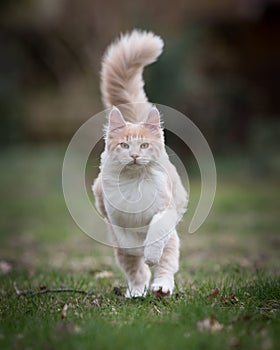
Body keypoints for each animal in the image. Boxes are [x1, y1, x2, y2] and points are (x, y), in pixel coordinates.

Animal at [92, 30, 188, 298]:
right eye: (125, 146)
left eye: (143, 145)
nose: (134, 156)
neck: (135, 183)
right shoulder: (114, 216)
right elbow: (130, 246)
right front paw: (139, 253)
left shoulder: (165, 211)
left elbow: (155, 233)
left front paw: (150, 253)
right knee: (136, 272)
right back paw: (137, 291)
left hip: (172, 237)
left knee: (166, 264)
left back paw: (162, 287)